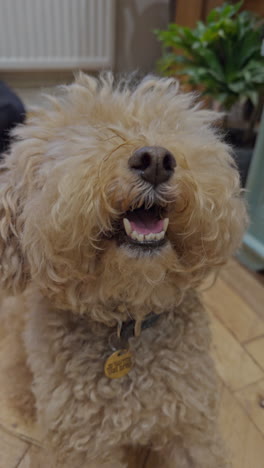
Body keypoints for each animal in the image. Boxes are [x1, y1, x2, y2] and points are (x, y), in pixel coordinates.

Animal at [0, 75, 248, 466]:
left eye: (170, 124)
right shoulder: (83, 447)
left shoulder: (192, 426)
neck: (128, 322)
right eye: (87, 129)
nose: (156, 159)